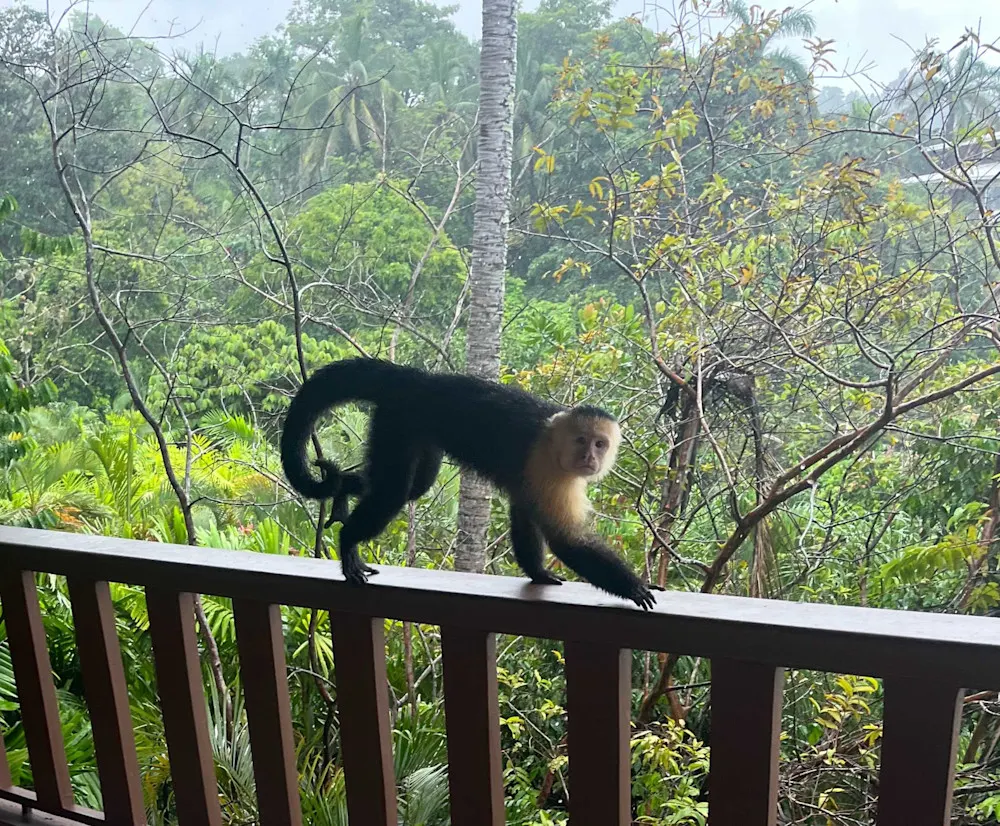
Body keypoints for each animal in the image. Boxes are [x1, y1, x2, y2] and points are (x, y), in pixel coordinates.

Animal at [280, 357, 656, 610]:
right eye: (581, 441)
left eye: (600, 444)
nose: (590, 458)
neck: (554, 443)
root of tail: (414, 377)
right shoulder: (550, 470)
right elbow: (567, 540)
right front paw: (633, 587)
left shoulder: (538, 478)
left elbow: (525, 516)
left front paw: (538, 573)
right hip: (398, 420)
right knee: (394, 491)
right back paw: (348, 542)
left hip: (412, 430)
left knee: (413, 485)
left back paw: (343, 487)